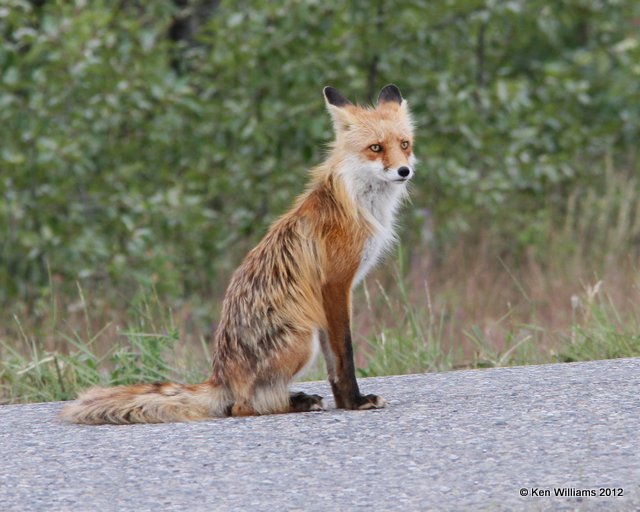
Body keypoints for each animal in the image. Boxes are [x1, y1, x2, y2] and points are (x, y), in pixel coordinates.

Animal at [62, 85, 418, 424]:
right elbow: (344, 354)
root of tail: (220, 377)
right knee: (241, 406)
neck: (357, 203)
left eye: (404, 144)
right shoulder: (335, 285)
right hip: (303, 340)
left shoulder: (331, 296)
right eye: (375, 148)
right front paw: (355, 402)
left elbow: (335, 363)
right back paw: (293, 403)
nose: (404, 171)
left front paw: (346, 403)